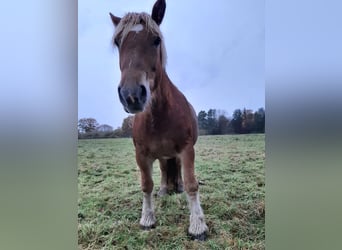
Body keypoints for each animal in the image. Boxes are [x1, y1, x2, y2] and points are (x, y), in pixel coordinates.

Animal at [109, 0, 207, 240]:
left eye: (156, 40)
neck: (159, 115)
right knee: (163, 170)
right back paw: (164, 189)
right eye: (118, 42)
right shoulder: (142, 154)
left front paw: (197, 226)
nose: (131, 94)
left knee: (177, 170)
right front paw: (147, 219)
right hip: (162, 154)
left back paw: (176, 187)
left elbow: (192, 184)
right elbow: (146, 185)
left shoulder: (186, 149)